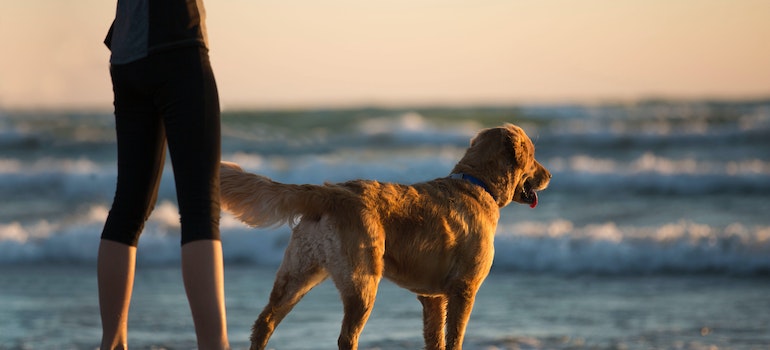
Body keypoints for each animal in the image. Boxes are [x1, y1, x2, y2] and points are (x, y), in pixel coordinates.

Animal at [219, 123, 548, 350]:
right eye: (533, 156)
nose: (549, 176)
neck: (477, 183)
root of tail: (331, 192)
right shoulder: (463, 289)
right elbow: (454, 338)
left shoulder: (433, 297)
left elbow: (435, 339)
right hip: (362, 280)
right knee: (346, 337)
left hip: (299, 273)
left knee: (264, 322)